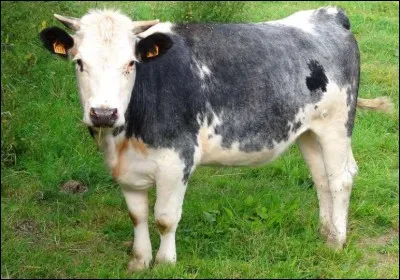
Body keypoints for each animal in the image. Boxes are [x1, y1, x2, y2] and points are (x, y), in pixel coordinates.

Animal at [39, 7, 394, 272]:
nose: (103, 113)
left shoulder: (176, 160)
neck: (124, 135)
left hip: (337, 124)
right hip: (308, 131)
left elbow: (165, 219)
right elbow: (137, 216)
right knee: (321, 178)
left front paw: (166, 264)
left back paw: (336, 241)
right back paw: (325, 231)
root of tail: (328, 13)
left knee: (340, 179)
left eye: (130, 63)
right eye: (79, 62)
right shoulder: (126, 168)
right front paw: (139, 262)